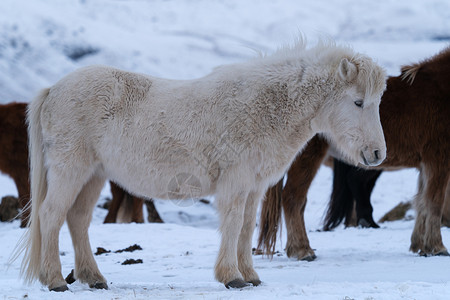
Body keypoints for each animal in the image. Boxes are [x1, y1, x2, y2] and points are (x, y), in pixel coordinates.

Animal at [14, 39, 386, 290]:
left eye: (377, 101)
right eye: (358, 102)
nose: (377, 154)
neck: (264, 108)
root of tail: (54, 89)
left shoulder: (253, 187)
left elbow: (246, 227)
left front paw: (251, 275)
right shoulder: (235, 183)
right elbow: (233, 225)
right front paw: (232, 277)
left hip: (93, 175)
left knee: (77, 219)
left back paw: (93, 278)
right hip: (70, 169)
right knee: (51, 215)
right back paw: (55, 280)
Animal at [258, 47, 450, 260]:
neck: (441, 89)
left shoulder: (425, 164)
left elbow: (421, 202)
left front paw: (419, 245)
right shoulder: (437, 160)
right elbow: (434, 202)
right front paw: (437, 246)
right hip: (307, 158)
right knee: (293, 197)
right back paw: (302, 250)